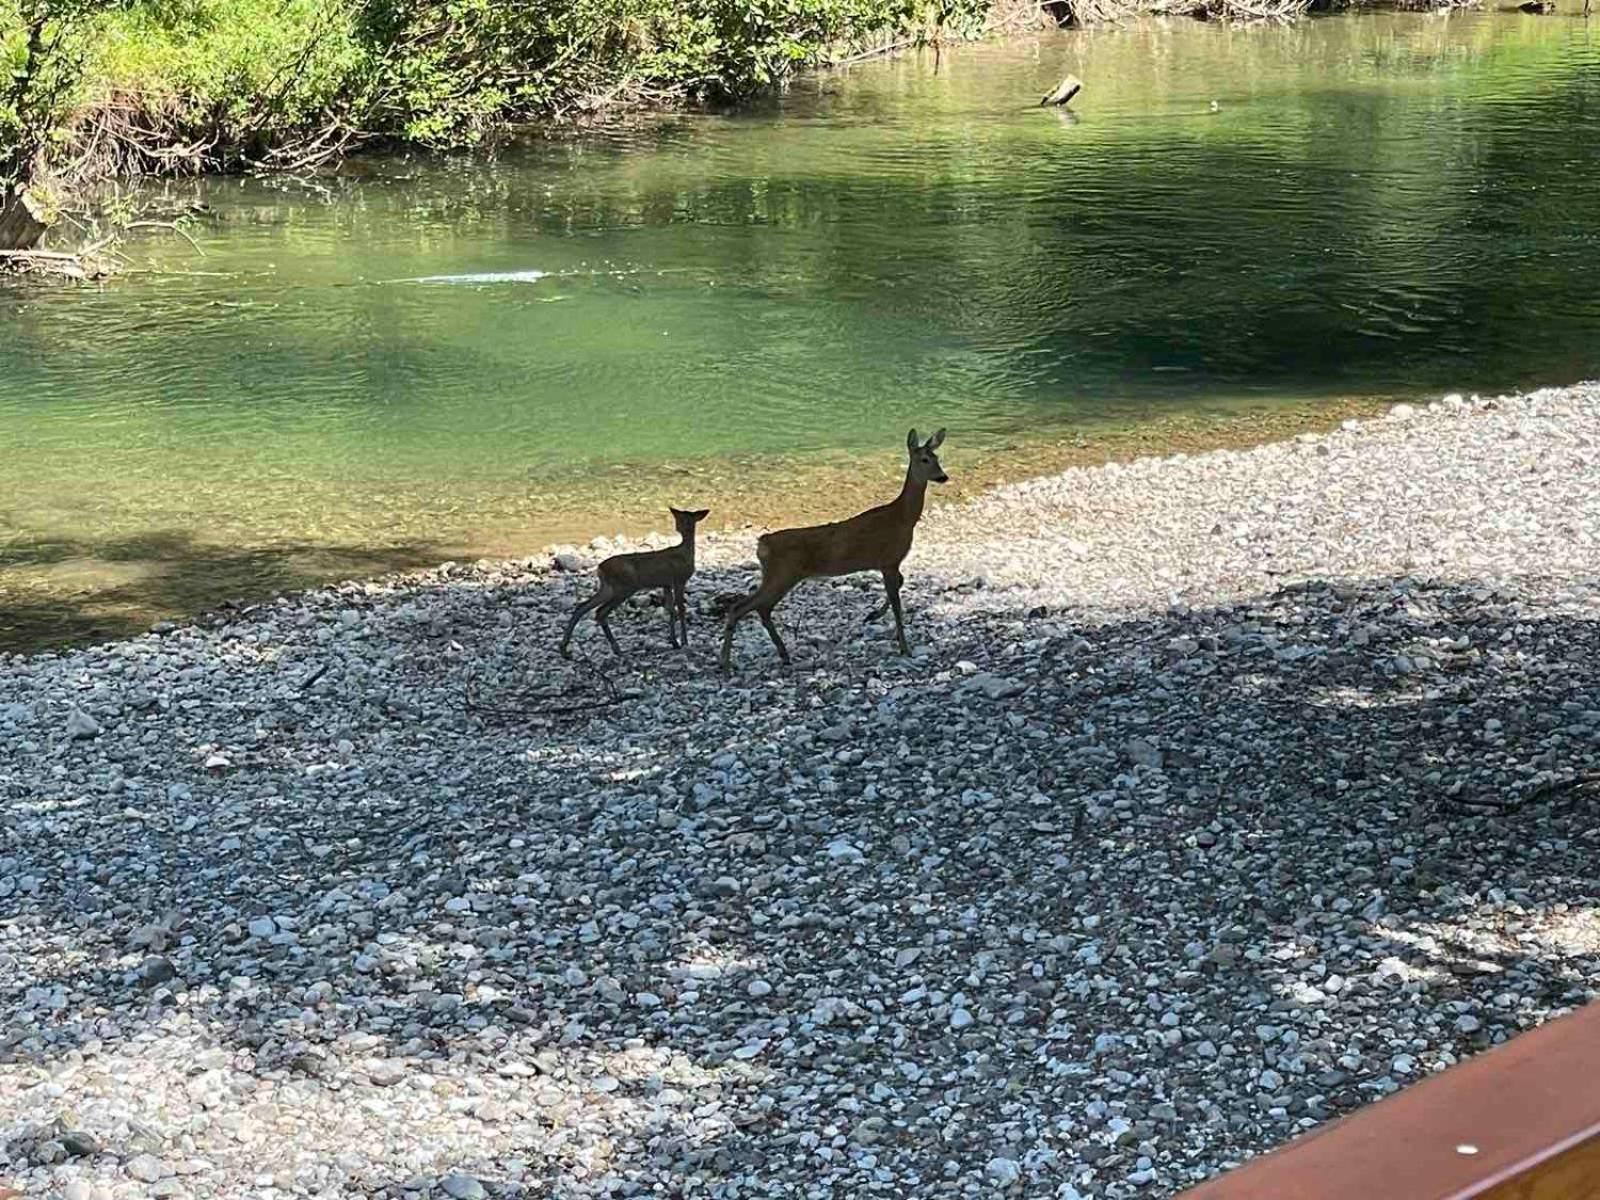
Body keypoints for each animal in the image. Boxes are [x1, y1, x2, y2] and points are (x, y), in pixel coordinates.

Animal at [566, 505, 710, 659]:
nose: (678, 527)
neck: (685, 553)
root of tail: (600, 568)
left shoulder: (666, 584)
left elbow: (671, 610)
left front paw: (675, 642)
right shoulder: (679, 579)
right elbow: (681, 609)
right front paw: (685, 642)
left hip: (608, 587)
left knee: (582, 607)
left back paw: (564, 649)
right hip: (625, 587)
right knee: (600, 612)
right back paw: (617, 649)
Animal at [720, 428, 940, 678]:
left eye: (938, 458)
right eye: (924, 459)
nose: (943, 476)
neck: (904, 517)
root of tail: (762, 544)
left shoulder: (890, 563)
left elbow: (899, 587)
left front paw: (873, 615)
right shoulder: (889, 560)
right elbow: (896, 604)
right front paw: (904, 647)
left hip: (779, 575)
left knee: (761, 608)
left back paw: (782, 655)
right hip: (782, 574)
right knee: (741, 607)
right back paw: (727, 666)